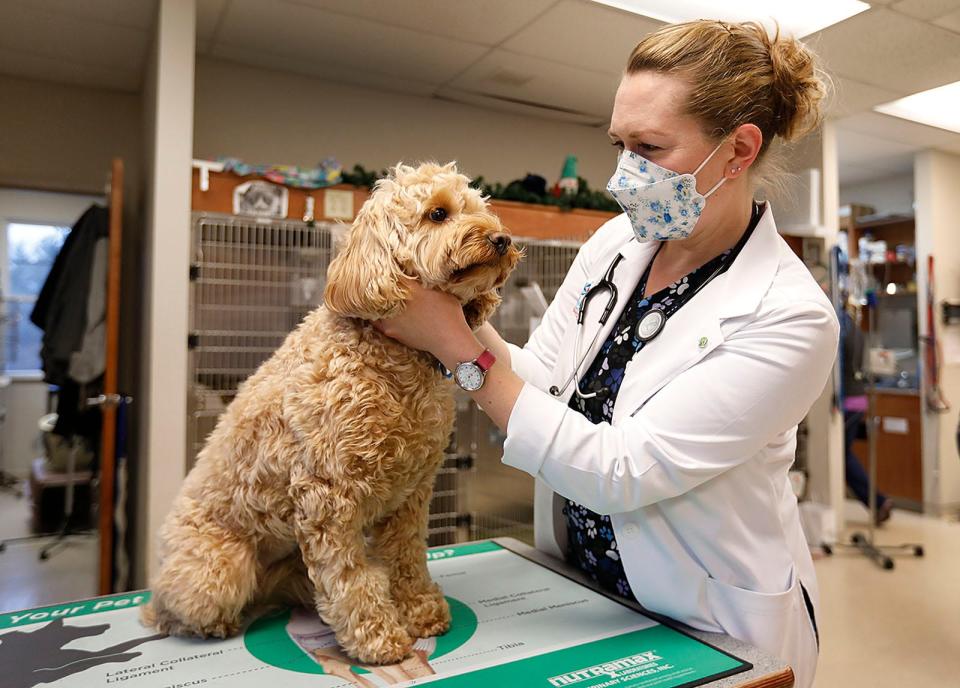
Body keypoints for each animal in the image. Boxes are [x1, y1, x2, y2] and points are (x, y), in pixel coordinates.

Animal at [140, 160, 520, 660]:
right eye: (438, 213)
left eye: (482, 209)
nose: (502, 239)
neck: (394, 363)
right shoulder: (327, 497)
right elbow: (350, 577)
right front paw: (378, 637)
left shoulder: (413, 493)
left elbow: (407, 557)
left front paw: (420, 610)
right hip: (216, 572)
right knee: (176, 608)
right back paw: (210, 623)